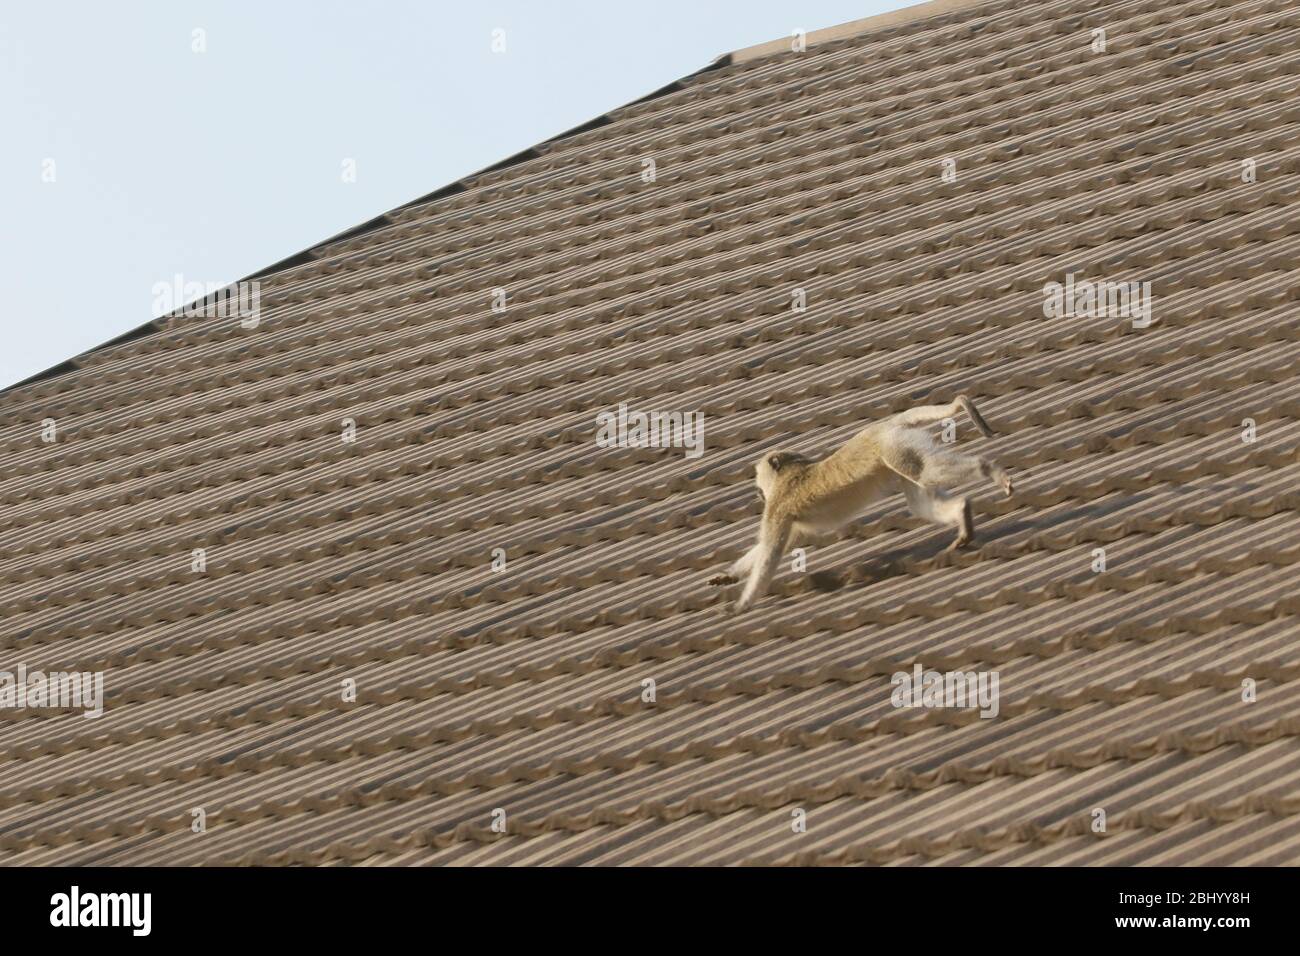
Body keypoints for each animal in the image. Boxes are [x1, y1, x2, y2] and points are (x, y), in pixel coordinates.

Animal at [708, 396, 1012, 613]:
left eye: (759, 480)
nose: (758, 492)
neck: (790, 472)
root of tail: (886, 425)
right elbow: (772, 546)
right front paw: (728, 577)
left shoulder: (779, 504)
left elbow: (770, 551)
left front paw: (742, 604)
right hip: (898, 449)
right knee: (920, 498)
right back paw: (962, 514)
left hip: (893, 446)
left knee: (925, 474)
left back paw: (986, 470)